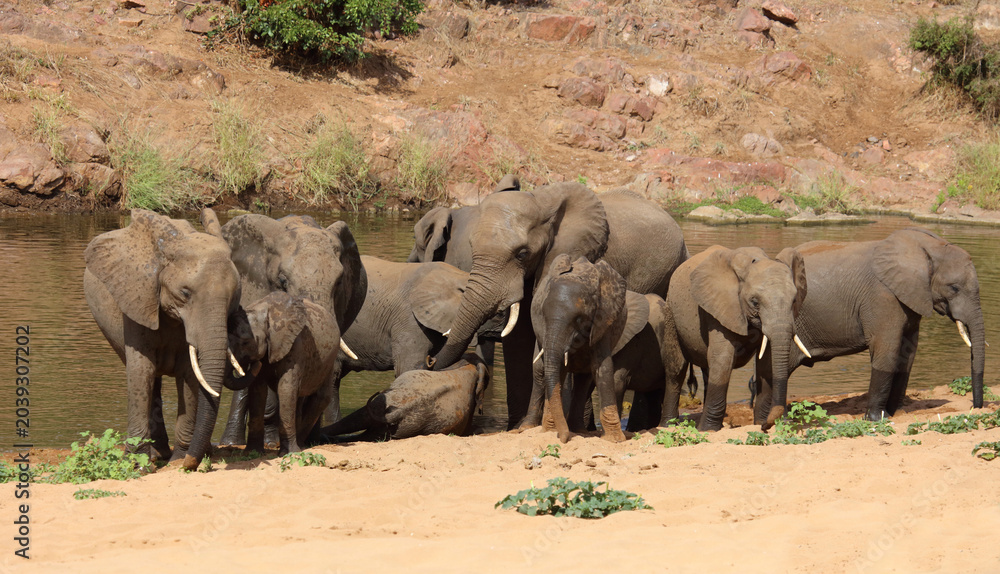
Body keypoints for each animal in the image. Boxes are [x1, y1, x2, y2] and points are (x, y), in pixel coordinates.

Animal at [84, 209, 241, 470]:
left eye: (235, 296)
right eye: (185, 293)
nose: (190, 463)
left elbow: (189, 375)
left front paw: (179, 460)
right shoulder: (138, 301)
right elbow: (140, 371)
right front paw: (138, 465)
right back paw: (156, 454)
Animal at [226, 292, 342, 454]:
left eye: (245, 342)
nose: (254, 364)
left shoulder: (296, 345)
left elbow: (286, 388)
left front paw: (289, 453)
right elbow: (258, 390)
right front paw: (253, 452)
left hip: (330, 358)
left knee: (321, 397)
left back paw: (300, 445)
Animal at [526, 255, 689, 442]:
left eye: (579, 319)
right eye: (541, 315)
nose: (563, 438)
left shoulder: (606, 325)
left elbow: (606, 372)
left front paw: (614, 439)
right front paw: (550, 432)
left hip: (669, 333)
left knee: (673, 375)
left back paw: (666, 426)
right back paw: (580, 431)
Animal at [667, 245, 808, 431]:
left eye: (793, 301)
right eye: (755, 302)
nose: (767, 426)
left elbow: (766, 363)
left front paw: (759, 423)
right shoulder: (719, 308)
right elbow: (722, 360)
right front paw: (708, 430)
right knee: (677, 369)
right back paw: (667, 425)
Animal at [750, 228, 986, 423]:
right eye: (954, 288)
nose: (976, 408)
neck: (926, 248)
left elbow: (907, 354)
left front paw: (895, 413)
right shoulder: (883, 297)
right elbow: (887, 350)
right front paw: (877, 419)